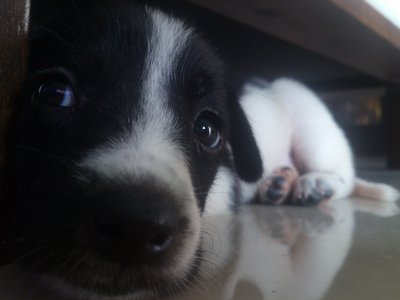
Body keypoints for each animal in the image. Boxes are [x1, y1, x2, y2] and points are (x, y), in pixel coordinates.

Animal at [1, 0, 398, 300]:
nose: (136, 227)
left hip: (312, 125)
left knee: (346, 178)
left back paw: (315, 184)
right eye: (54, 93)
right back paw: (279, 183)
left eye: (207, 130)